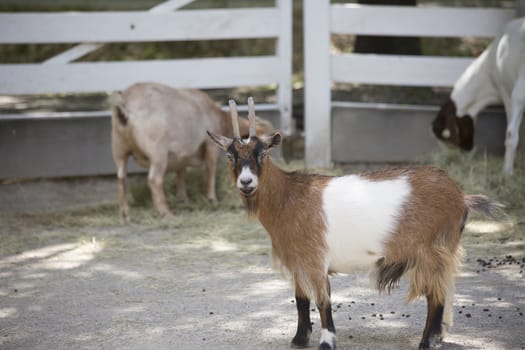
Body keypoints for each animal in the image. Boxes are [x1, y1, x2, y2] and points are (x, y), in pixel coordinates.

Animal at [110, 82, 270, 221]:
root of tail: (125, 104)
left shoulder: (182, 154)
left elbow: (182, 172)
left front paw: (183, 199)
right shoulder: (210, 146)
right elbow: (210, 169)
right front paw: (212, 199)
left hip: (119, 149)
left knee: (121, 178)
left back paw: (125, 215)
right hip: (157, 152)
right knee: (154, 180)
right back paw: (165, 213)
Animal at [208, 98, 500, 350]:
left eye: (263, 153)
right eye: (230, 156)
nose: (246, 182)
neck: (288, 197)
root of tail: (460, 196)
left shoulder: (315, 260)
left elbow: (323, 300)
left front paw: (326, 342)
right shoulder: (298, 262)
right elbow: (301, 300)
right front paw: (300, 339)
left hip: (432, 250)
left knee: (435, 296)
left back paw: (426, 342)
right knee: (444, 290)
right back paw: (438, 336)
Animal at [432, 17, 524, 175]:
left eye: (448, 139)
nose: (454, 157)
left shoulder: (507, 92)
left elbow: (511, 134)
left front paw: (507, 172)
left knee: (511, 134)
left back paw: (506, 173)